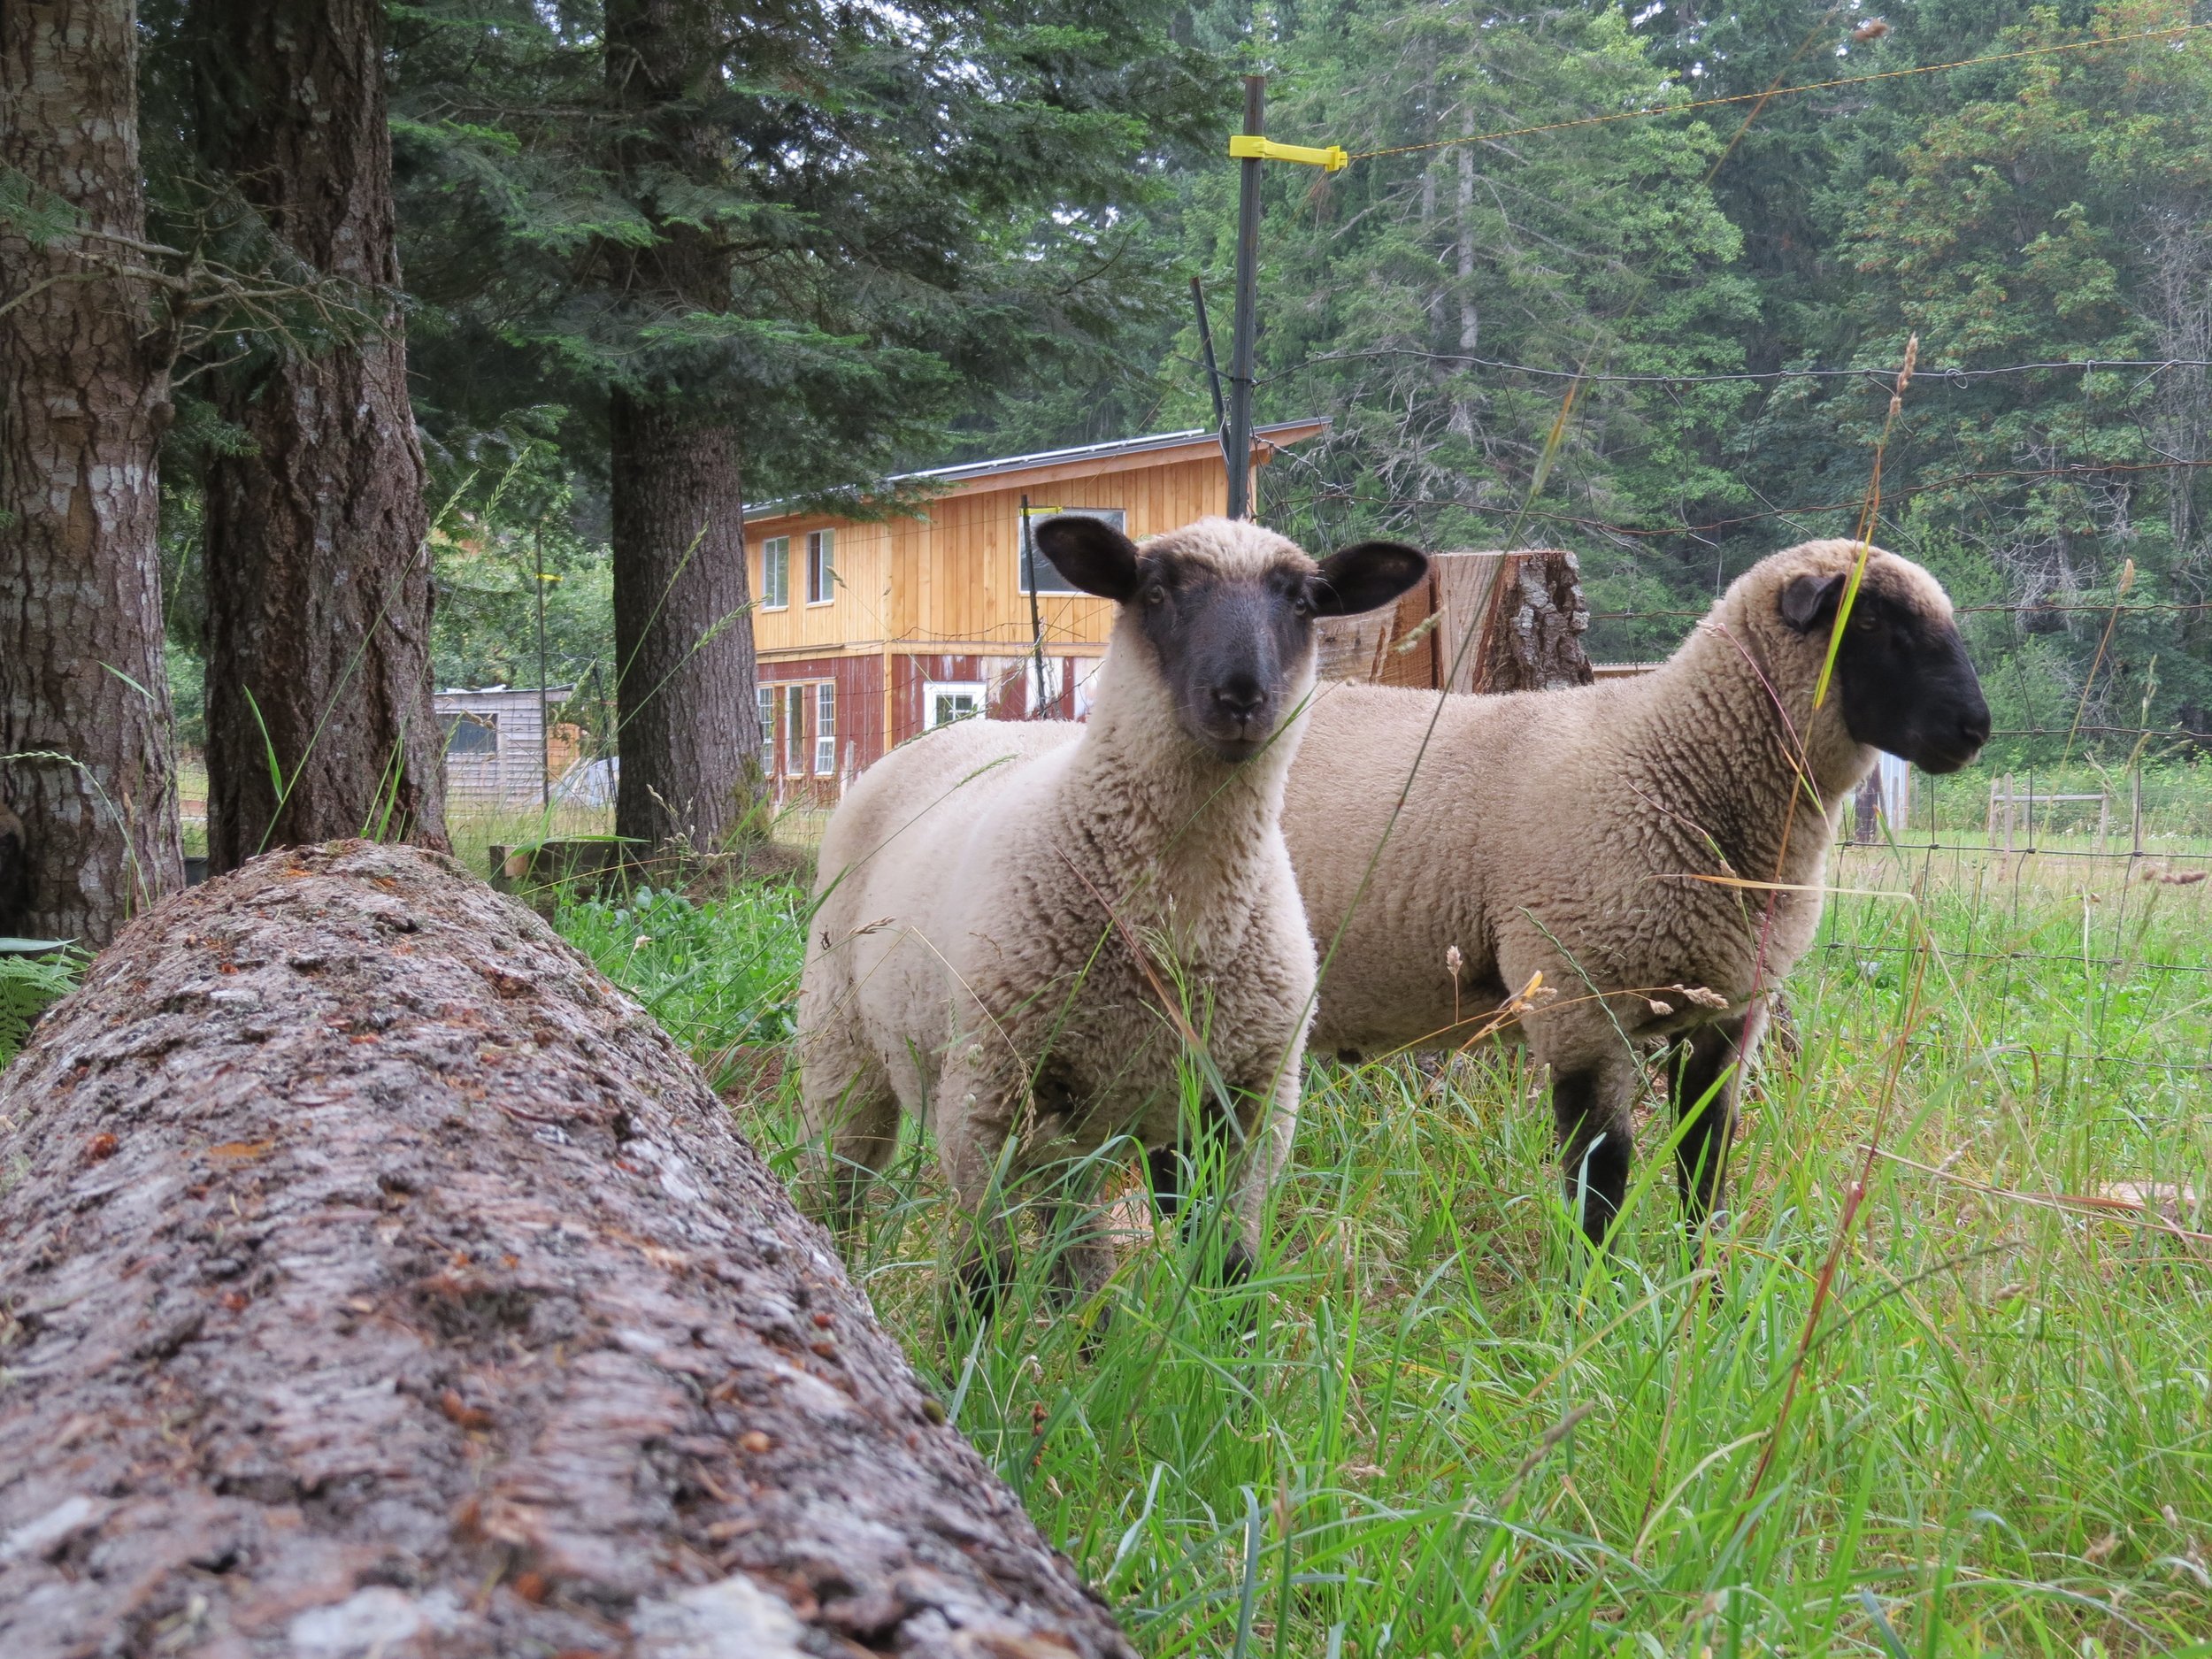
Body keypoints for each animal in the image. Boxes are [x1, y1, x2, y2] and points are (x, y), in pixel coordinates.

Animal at [797, 514, 1429, 1309]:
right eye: (1155, 591)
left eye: (1304, 603)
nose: (1242, 698)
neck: (1181, 928)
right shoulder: (985, 1097)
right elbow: (985, 1277)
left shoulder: (1250, 1109)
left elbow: (1227, 1271)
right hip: (844, 1039)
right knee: (841, 1182)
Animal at [1281, 537, 1991, 1249]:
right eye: (1867, 620)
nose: (1975, 730)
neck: (1669, 756)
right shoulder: (1580, 1006)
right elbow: (1601, 1174)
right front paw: (1593, 1277)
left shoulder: (1726, 1013)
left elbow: (1706, 1158)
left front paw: (1704, 1272)